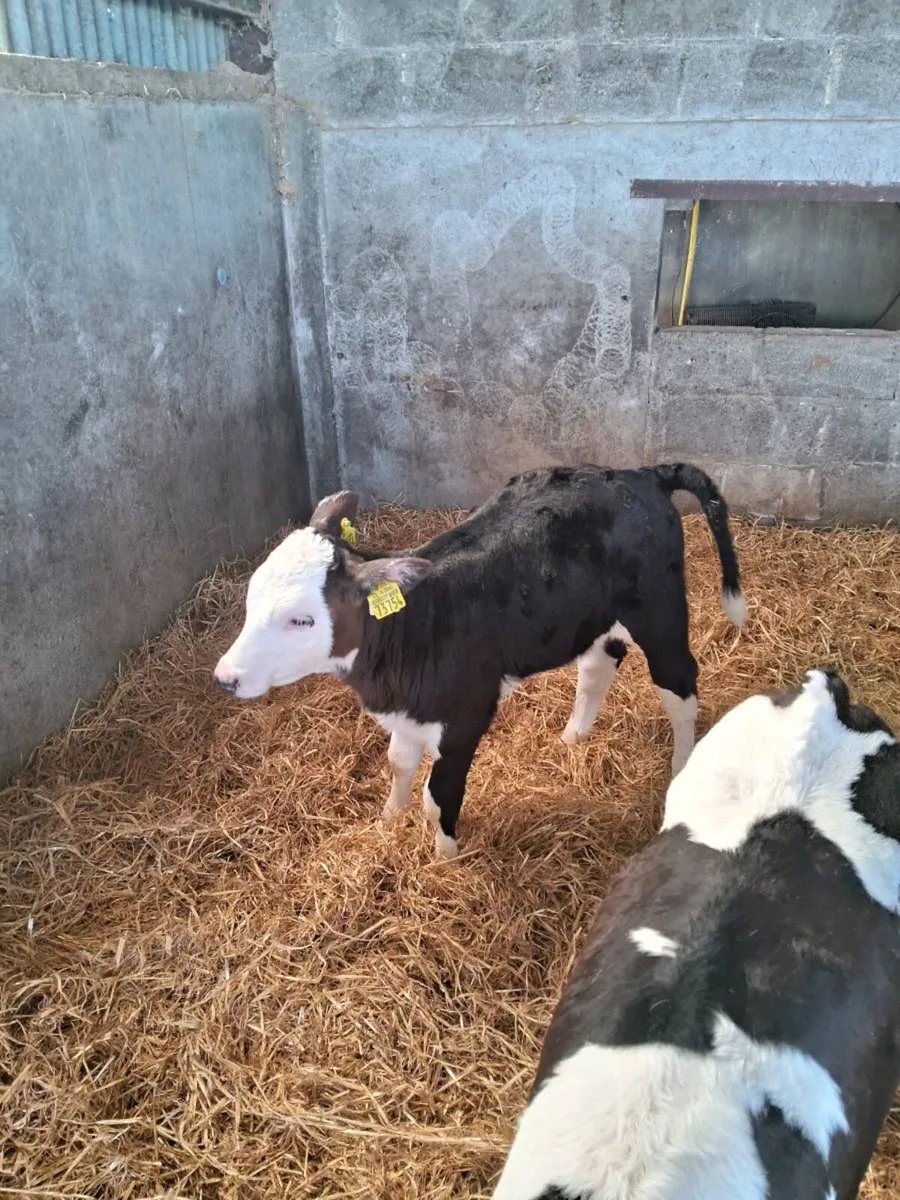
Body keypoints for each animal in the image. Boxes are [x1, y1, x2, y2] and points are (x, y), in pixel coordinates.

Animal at [214, 463, 747, 860]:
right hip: (593, 616)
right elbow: (398, 764)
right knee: (599, 664)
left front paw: (443, 859)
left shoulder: (464, 717)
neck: (411, 630)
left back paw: (681, 766)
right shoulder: (407, 711)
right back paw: (573, 737)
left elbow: (437, 798)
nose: (225, 677)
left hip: (659, 607)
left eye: (301, 620)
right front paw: (387, 820)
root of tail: (643, 473)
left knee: (678, 682)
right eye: (252, 597)